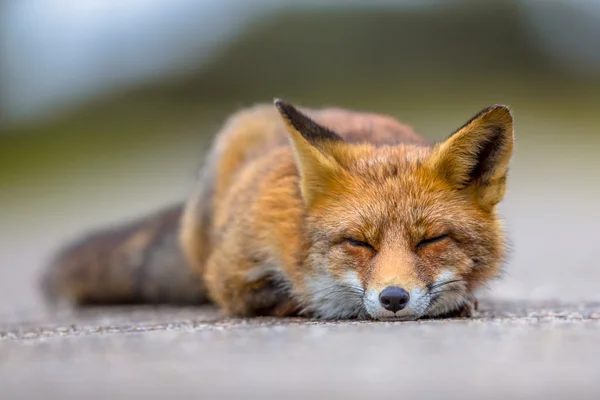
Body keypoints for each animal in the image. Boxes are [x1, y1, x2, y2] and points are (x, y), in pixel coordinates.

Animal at [39, 100, 512, 322]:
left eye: (432, 240)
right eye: (358, 242)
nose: (393, 298)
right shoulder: (228, 271)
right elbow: (271, 296)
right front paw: (306, 303)